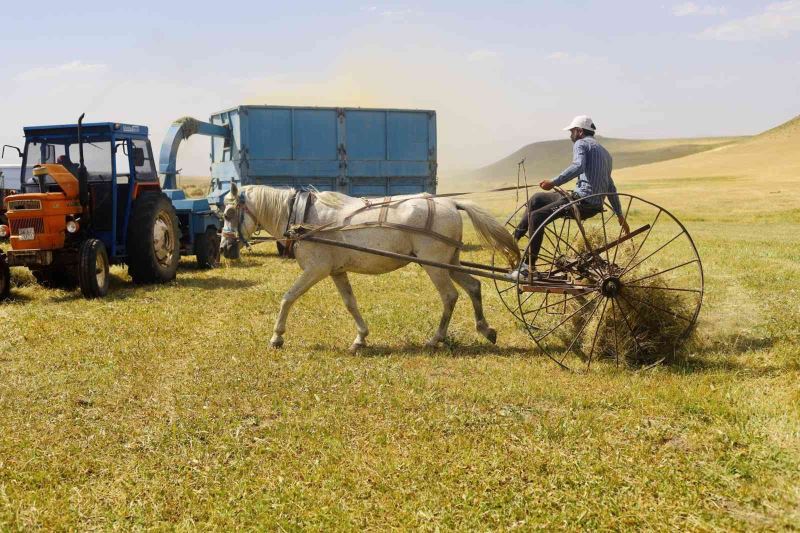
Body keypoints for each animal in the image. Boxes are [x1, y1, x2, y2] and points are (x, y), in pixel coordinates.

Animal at [219, 185, 520, 352]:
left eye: (229, 213)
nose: (224, 248)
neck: (302, 216)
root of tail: (450, 202)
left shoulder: (316, 270)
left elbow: (288, 298)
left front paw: (276, 337)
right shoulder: (336, 271)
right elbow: (350, 304)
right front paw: (360, 338)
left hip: (433, 264)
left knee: (450, 296)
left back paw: (435, 339)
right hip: (450, 261)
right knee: (473, 286)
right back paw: (485, 329)